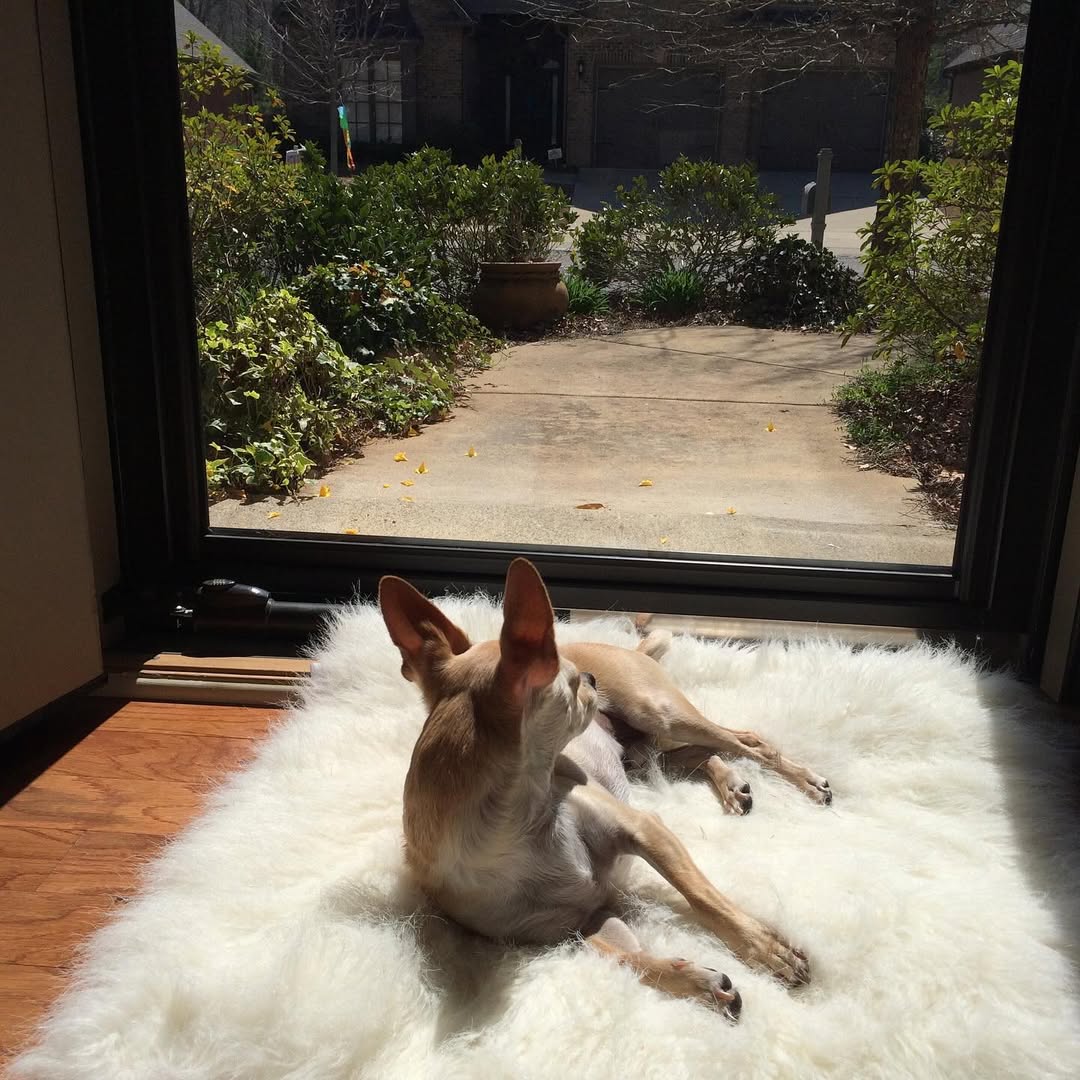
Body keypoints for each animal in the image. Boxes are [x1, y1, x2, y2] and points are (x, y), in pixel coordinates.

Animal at [379, 558, 830, 1019]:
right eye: (574, 683)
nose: (590, 677)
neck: (521, 832)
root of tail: (632, 650)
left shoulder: (648, 832)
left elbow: (703, 897)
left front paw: (764, 950)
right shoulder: (579, 925)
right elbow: (628, 959)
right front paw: (698, 983)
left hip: (659, 713)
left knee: (745, 740)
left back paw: (806, 782)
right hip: (641, 750)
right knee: (699, 753)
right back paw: (732, 784)